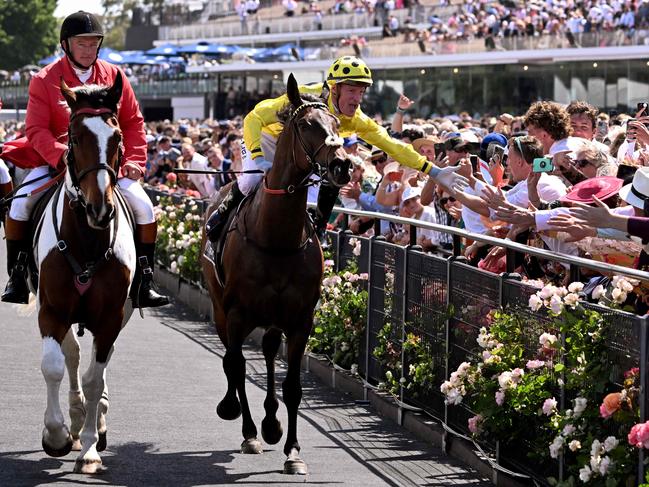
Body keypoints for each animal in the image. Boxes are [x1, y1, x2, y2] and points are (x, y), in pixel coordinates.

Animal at [202, 74, 352, 474]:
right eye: (307, 125)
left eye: (337, 126)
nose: (342, 165)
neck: (277, 237)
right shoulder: (236, 313)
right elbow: (236, 366)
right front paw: (245, 426)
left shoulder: (300, 320)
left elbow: (292, 386)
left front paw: (293, 451)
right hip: (219, 308)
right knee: (233, 361)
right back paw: (252, 426)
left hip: (272, 317)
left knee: (269, 351)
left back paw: (271, 422)